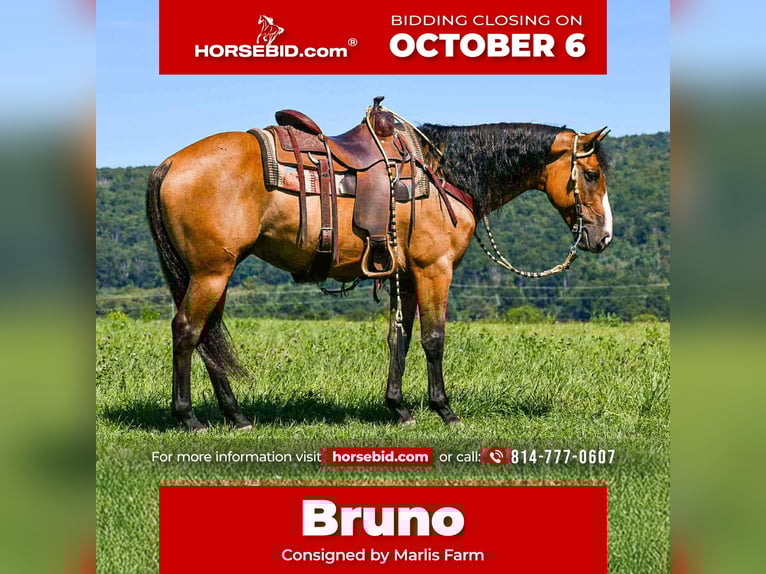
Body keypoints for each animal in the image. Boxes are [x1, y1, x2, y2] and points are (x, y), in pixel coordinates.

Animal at [145, 114, 612, 431]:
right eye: (591, 175)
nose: (604, 236)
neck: (446, 174)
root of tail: (168, 163)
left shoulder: (404, 275)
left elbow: (398, 339)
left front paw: (399, 407)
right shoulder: (434, 270)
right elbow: (434, 339)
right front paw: (445, 410)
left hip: (212, 274)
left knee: (208, 338)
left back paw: (237, 415)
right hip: (210, 273)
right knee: (187, 331)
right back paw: (188, 418)